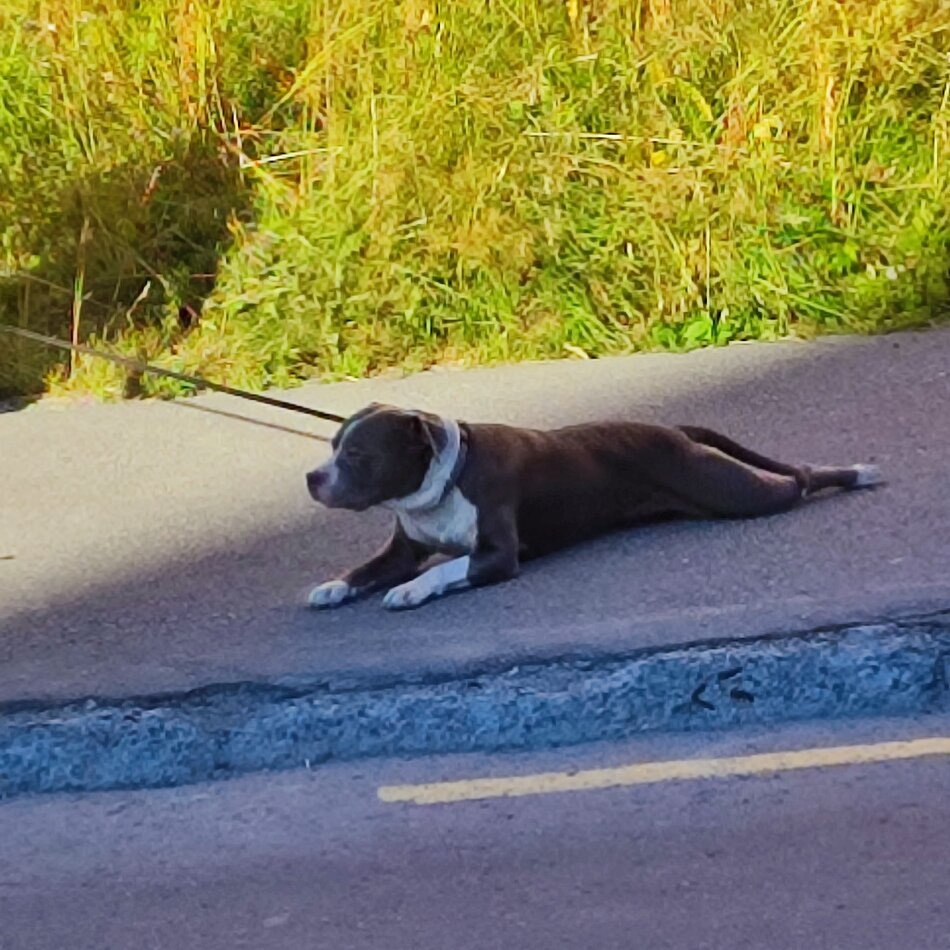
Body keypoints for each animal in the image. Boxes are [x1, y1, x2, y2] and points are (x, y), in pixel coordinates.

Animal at [306, 404, 884, 612]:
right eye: (332, 445)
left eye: (357, 455)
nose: (312, 477)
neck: (444, 482)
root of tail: (673, 430)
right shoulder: (403, 548)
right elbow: (367, 569)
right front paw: (335, 585)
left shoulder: (496, 555)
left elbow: (444, 568)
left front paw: (410, 591)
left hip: (735, 491)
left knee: (800, 480)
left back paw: (858, 473)